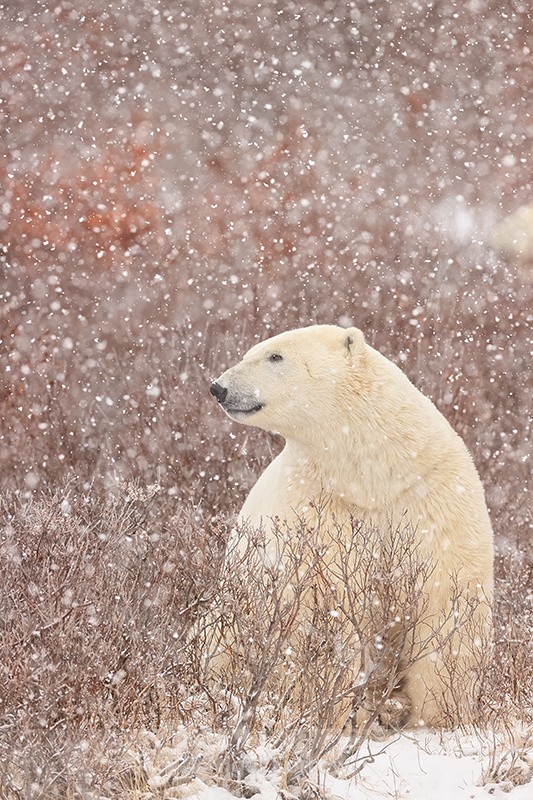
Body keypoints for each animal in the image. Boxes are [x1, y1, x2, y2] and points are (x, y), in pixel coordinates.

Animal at [210, 324, 494, 729]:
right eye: (251, 351)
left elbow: (445, 611)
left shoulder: (433, 497)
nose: (218, 387)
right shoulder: (314, 508)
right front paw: (321, 712)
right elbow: (320, 609)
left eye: (275, 356)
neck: (371, 475)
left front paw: (441, 718)